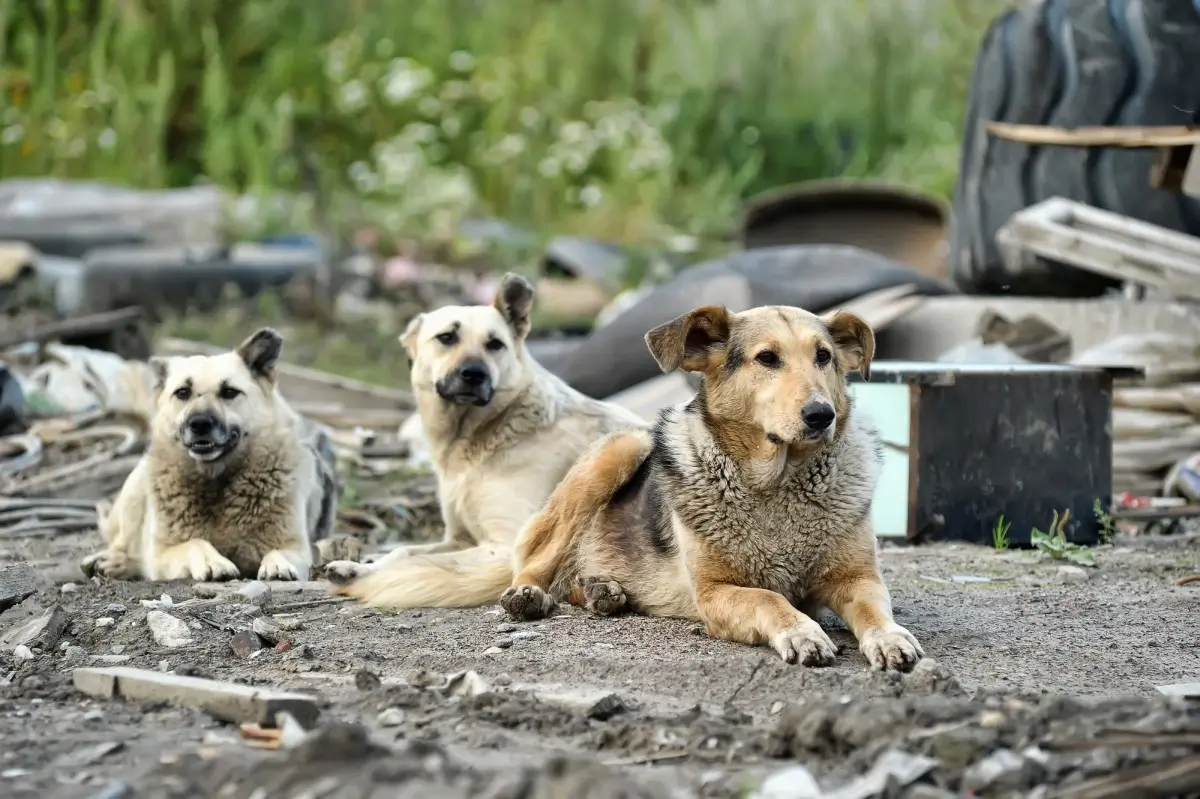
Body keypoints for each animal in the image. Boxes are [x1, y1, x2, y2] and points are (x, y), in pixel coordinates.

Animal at [80, 326, 336, 583]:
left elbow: (279, 552)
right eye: (183, 392)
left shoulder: (296, 547)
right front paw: (214, 562)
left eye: (229, 392)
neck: (215, 480)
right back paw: (111, 562)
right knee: (124, 544)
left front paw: (278, 565)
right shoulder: (163, 552)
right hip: (134, 491)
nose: (199, 424)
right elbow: (195, 542)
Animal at [324, 271, 648, 607]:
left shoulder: (503, 544)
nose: (474, 373)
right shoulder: (457, 538)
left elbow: (428, 564)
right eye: (446, 337)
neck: (478, 442)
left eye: (495, 344)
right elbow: (405, 551)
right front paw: (358, 567)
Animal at [496, 302, 926, 667]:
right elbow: (769, 599)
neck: (778, 483)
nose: (822, 414)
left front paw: (890, 637)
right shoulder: (715, 591)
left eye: (824, 356)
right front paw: (801, 632)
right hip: (623, 448)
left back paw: (602, 591)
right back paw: (529, 594)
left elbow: (874, 610)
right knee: (537, 558)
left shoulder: (858, 578)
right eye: (767, 358)